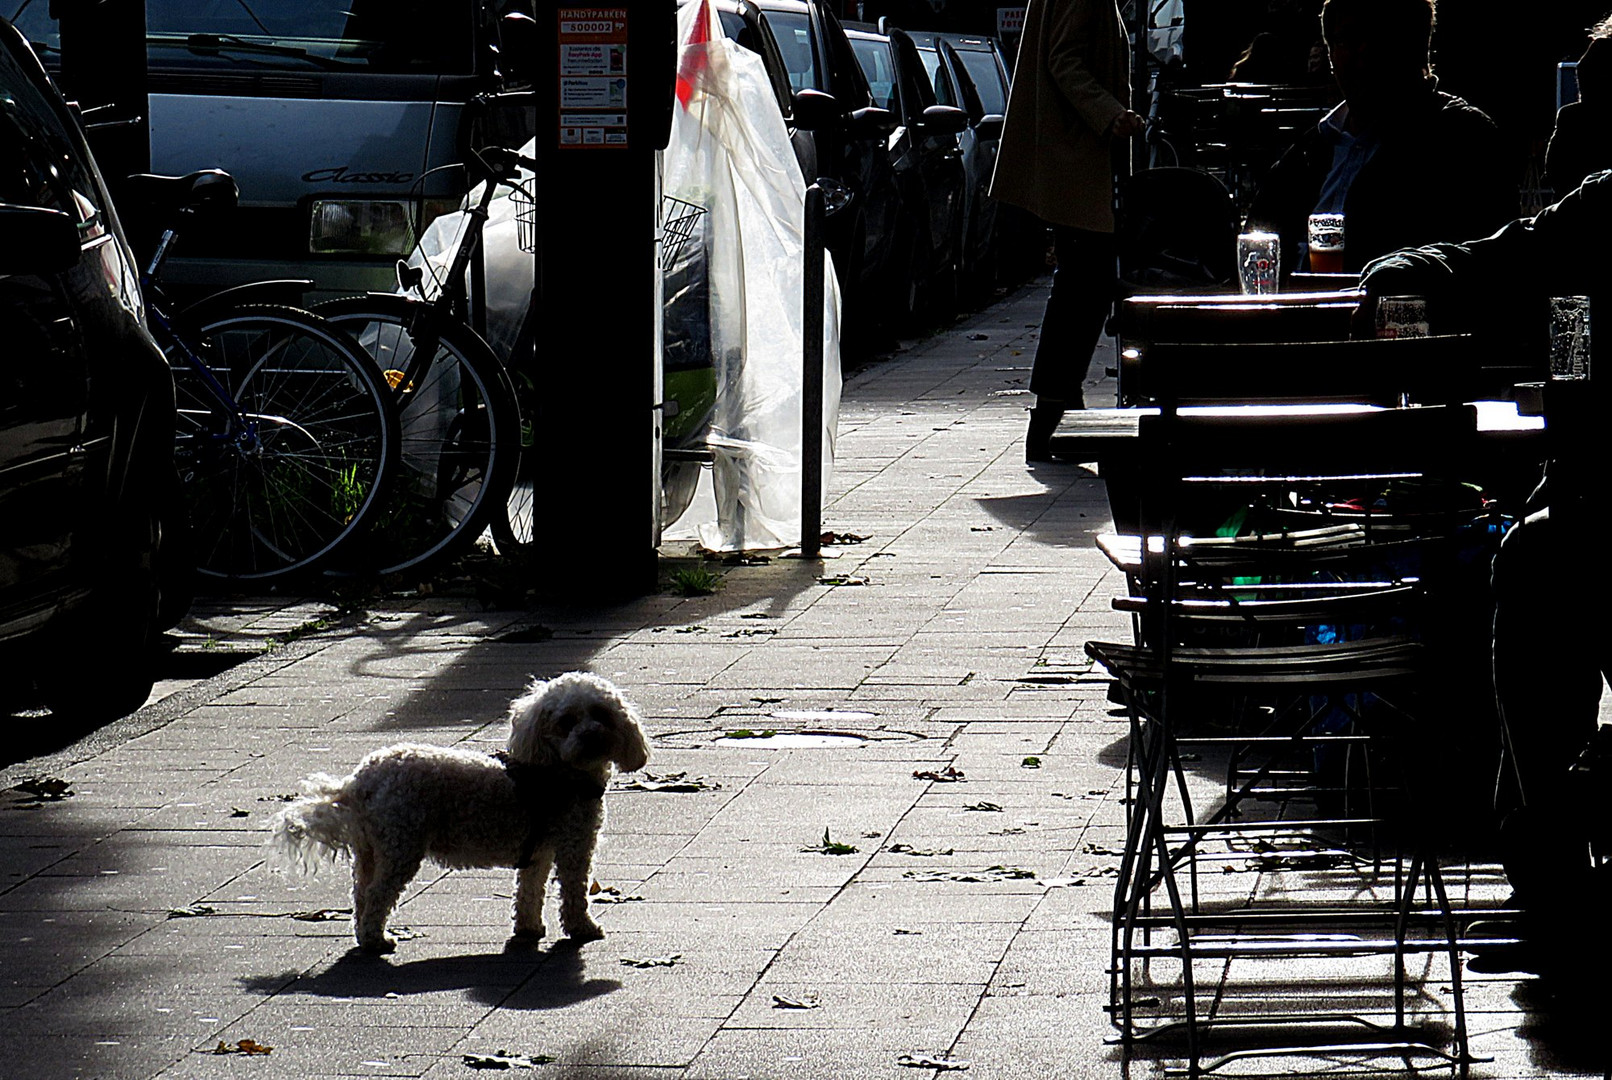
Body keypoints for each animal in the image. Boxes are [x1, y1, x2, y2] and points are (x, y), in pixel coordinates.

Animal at [265, 677, 648, 954]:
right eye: (566, 721)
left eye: (601, 714)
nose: (592, 737)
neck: (557, 772)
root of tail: (359, 782)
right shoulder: (574, 846)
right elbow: (574, 893)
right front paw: (584, 930)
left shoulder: (538, 853)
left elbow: (529, 891)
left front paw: (529, 929)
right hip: (402, 846)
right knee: (377, 896)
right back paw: (378, 941)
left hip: (372, 849)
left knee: (361, 893)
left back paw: (366, 935)